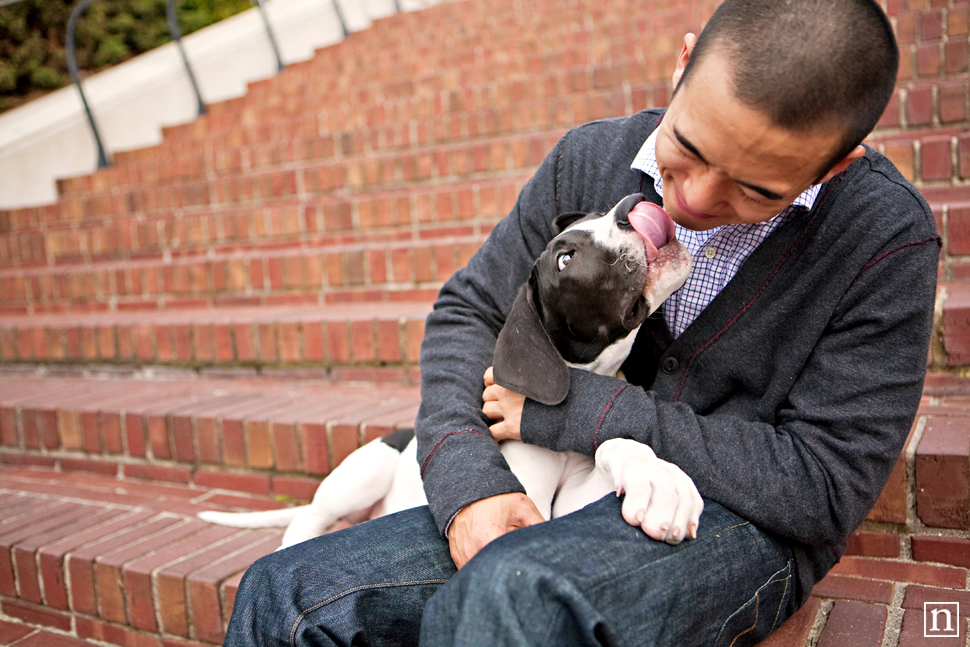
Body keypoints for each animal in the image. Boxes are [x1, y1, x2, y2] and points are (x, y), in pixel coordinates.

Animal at [202, 195, 704, 548]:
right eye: (565, 258)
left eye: (602, 213)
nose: (630, 204)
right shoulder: (528, 508)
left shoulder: (567, 507)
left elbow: (615, 443)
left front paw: (661, 483)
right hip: (364, 472)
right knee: (310, 515)